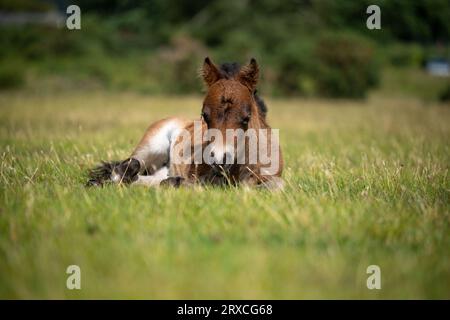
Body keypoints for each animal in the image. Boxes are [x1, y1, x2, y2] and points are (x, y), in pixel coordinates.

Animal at [87, 57, 284, 189]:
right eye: (205, 115)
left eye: (246, 117)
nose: (219, 159)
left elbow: (275, 186)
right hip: (151, 147)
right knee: (130, 164)